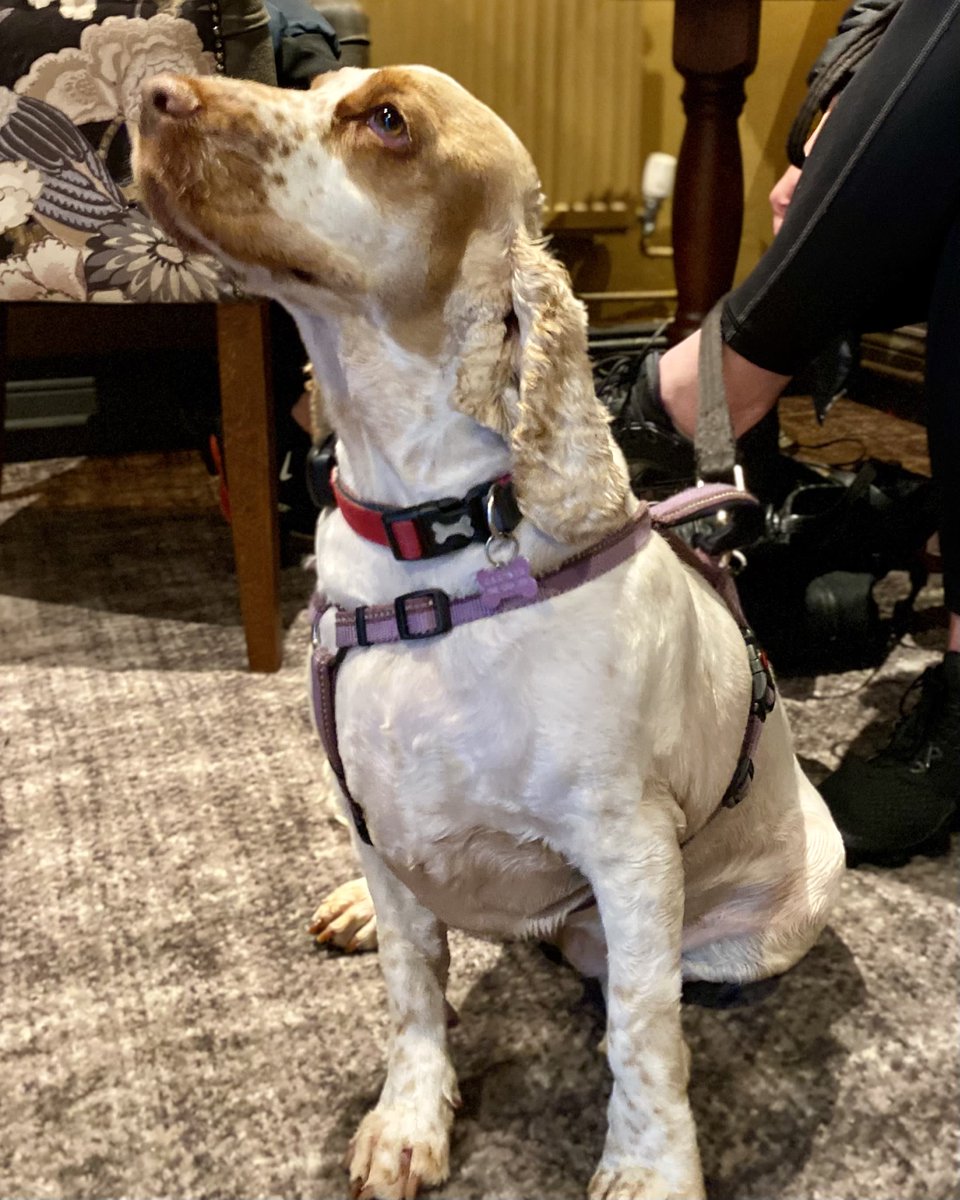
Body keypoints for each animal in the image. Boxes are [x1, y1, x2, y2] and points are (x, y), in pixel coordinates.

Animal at [135, 65, 840, 1200]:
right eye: (319, 87)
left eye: (387, 120)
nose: (151, 92)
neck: (431, 544)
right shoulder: (371, 809)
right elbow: (413, 985)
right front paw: (408, 1118)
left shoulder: (630, 852)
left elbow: (642, 1028)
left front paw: (649, 1167)